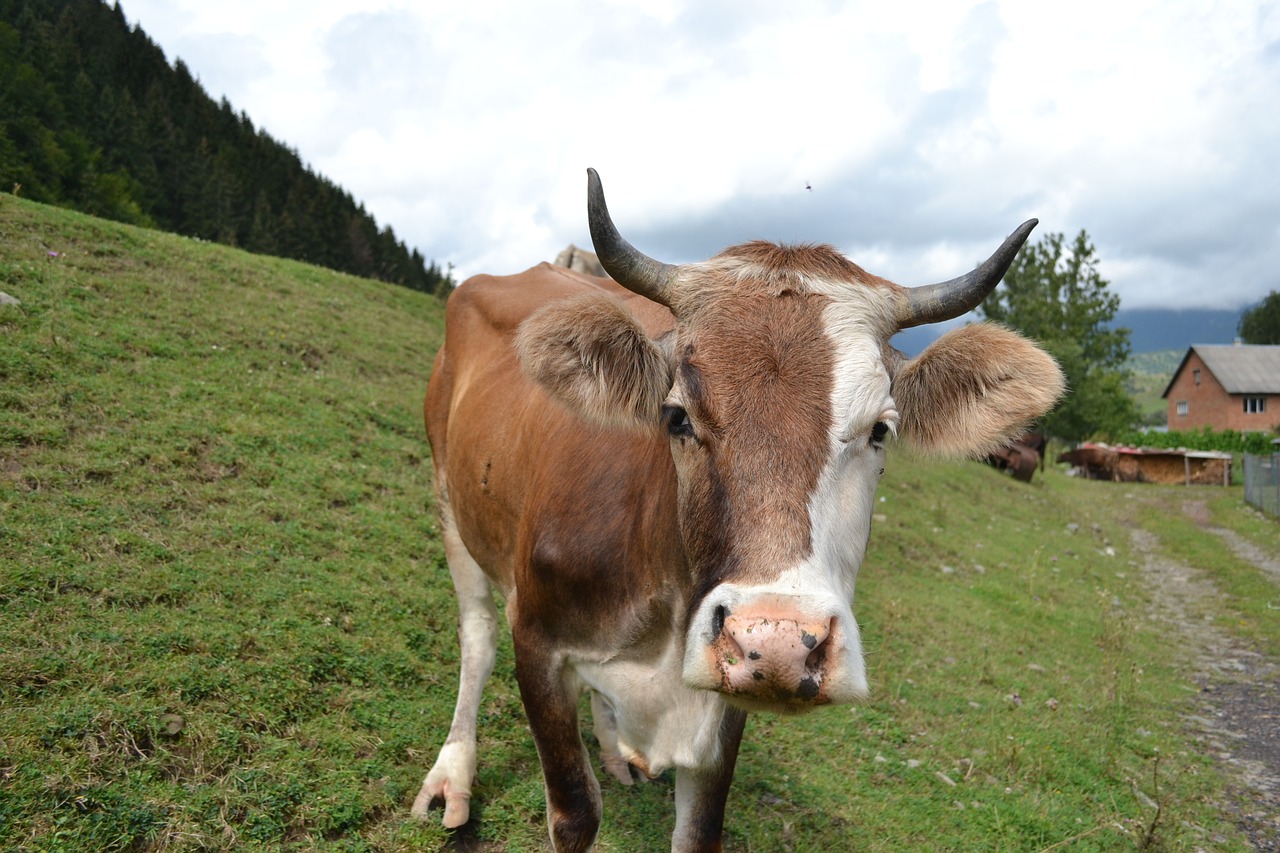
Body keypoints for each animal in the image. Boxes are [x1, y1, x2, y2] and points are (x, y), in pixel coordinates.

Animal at [414, 169, 1064, 845]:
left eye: (881, 430)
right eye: (676, 416)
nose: (777, 643)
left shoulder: (723, 710)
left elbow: (700, 829)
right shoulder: (538, 645)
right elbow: (575, 813)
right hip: (449, 496)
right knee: (477, 635)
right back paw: (451, 777)